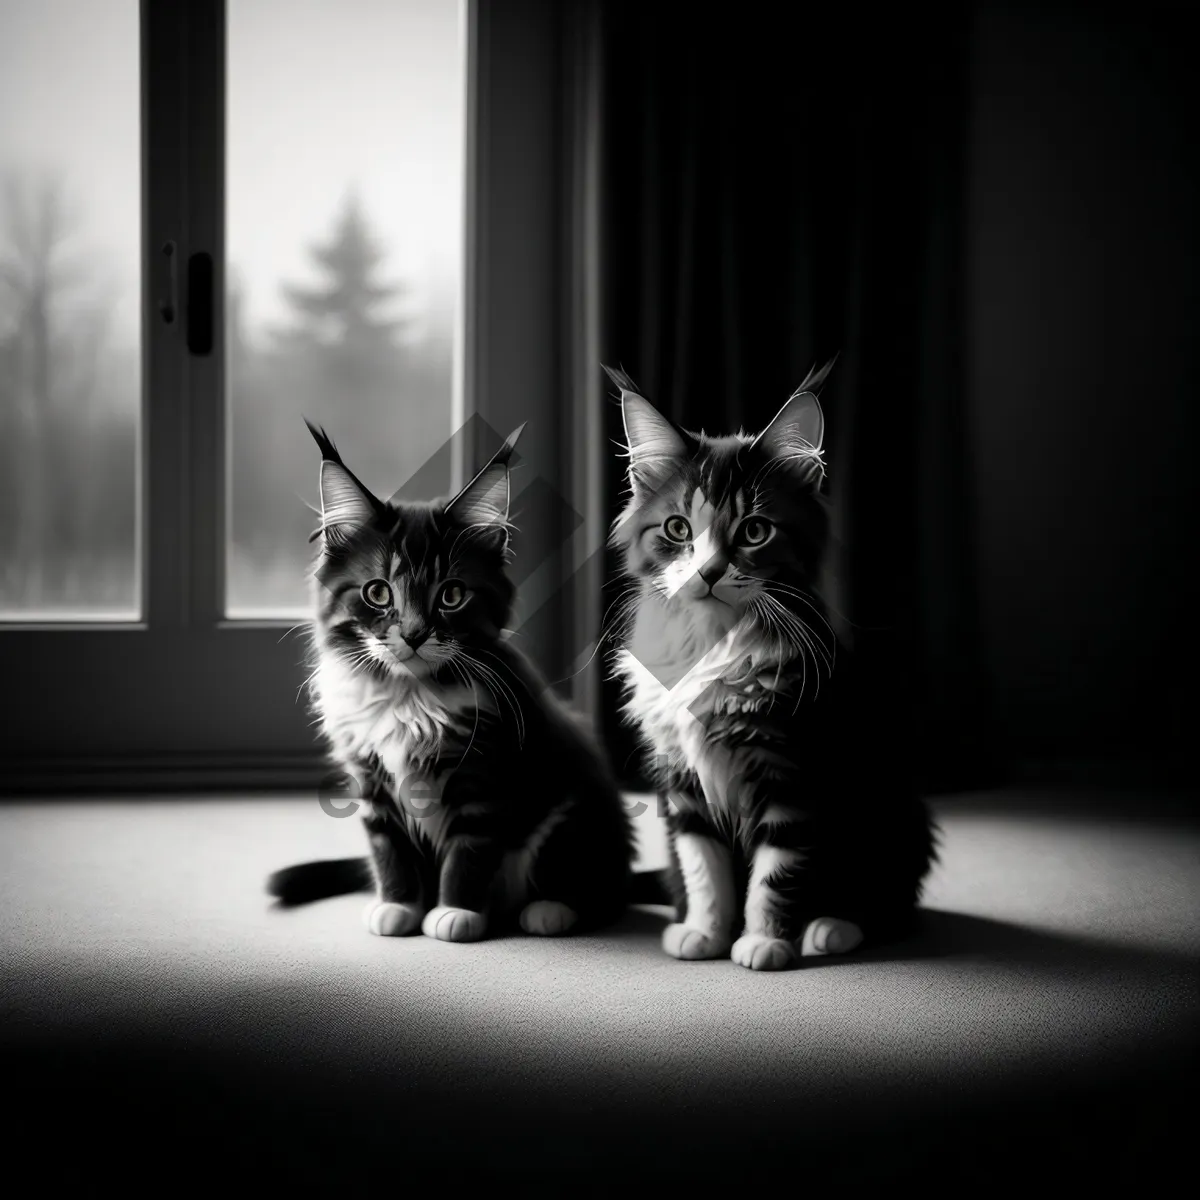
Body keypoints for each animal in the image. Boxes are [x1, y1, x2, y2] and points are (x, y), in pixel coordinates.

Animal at [265, 422, 638, 936]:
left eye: (452, 595)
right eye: (377, 593)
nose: (414, 634)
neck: (408, 696)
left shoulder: (483, 776)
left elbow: (469, 853)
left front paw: (455, 913)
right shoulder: (372, 781)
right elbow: (389, 850)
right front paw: (398, 905)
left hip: (577, 813)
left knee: (595, 884)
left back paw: (549, 910)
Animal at [609, 360, 936, 969]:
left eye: (754, 531)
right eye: (678, 529)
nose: (709, 572)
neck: (710, 644)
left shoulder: (792, 774)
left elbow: (775, 874)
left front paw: (763, 942)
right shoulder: (682, 786)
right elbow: (704, 869)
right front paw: (706, 933)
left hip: (894, 816)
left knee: (891, 905)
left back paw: (833, 927)